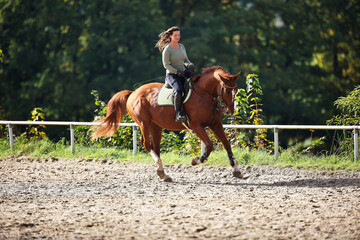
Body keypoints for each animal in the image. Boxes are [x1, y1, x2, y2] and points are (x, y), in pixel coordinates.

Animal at [93, 65, 243, 182]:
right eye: (227, 90)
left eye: (235, 90)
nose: (230, 111)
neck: (205, 95)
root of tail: (133, 92)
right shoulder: (196, 126)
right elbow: (209, 144)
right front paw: (196, 160)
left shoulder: (215, 124)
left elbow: (226, 143)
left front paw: (236, 169)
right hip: (144, 123)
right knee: (146, 144)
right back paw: (161, 170)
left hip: (156, 126)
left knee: (155, 147)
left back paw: (162, 173)